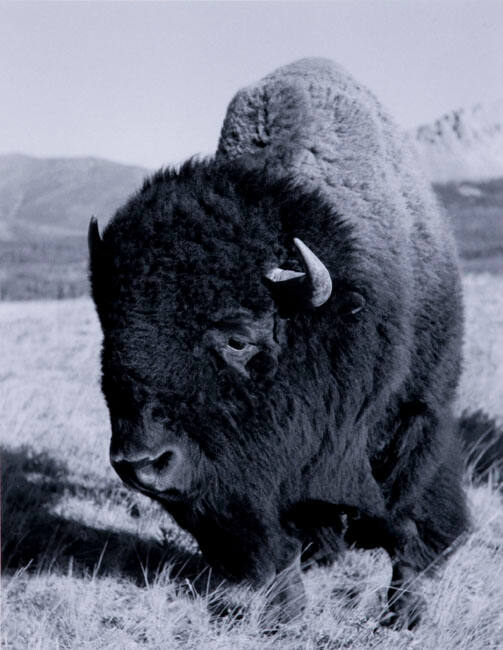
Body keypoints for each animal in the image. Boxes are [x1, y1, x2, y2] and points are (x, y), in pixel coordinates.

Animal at [88, 58, 470, 624]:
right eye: (109, 334)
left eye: (238, 339)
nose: (142, 464)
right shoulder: (245, 482)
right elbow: (274, 538)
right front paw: (285, 613)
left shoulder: (415, 417)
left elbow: (409, 524)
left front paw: (405, 614)